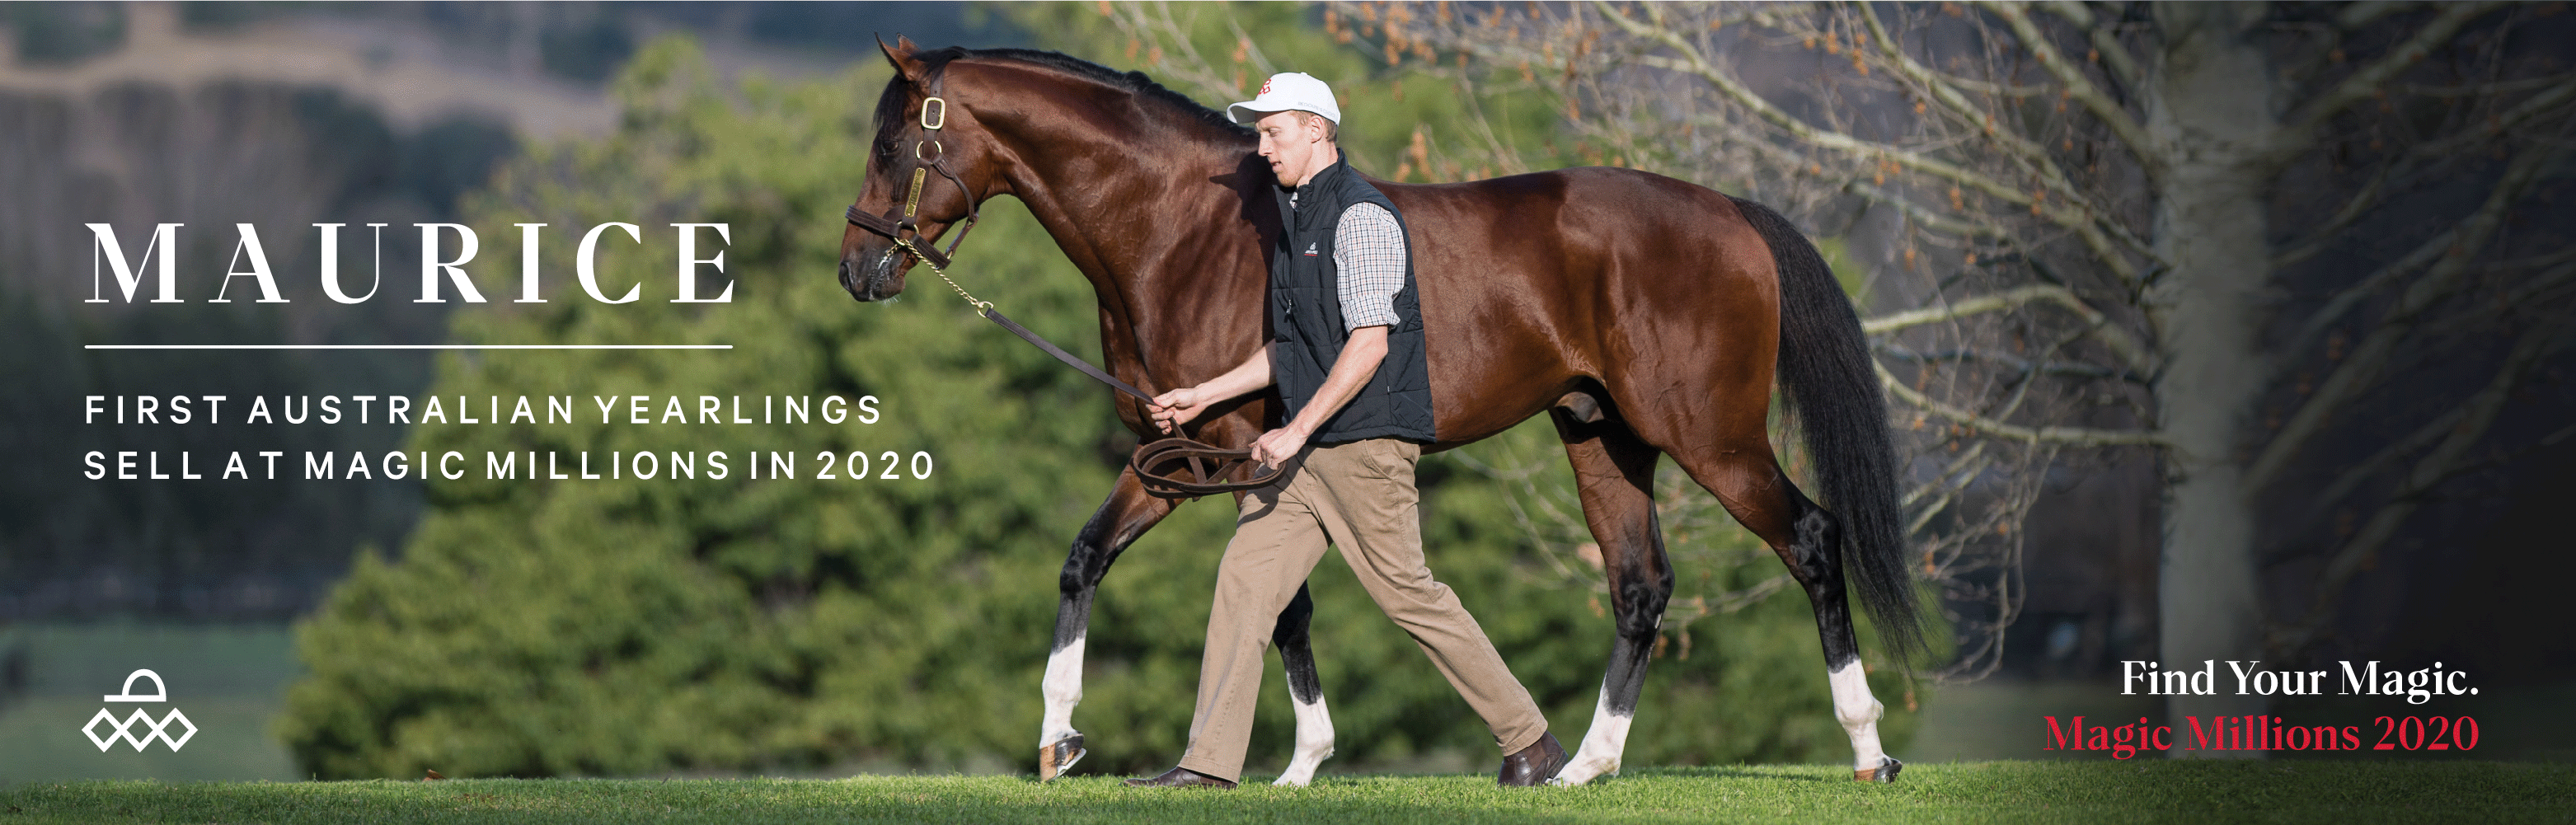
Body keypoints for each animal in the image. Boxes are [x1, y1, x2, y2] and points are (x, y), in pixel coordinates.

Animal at [837, 38, 1922, 787]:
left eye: (894, 142)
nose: (858, 269)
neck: (1183, 229)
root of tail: (1733, 213)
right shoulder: (1177, 452)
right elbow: (1088, 559)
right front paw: (1059, 738)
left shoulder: (1250, 454)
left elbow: (1280, 604)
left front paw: (1296, 760)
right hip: (1600, 436)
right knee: (1639, 585)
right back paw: (1580, 765)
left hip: (1709, 437)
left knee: (1810, 539)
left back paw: (1866, 747)